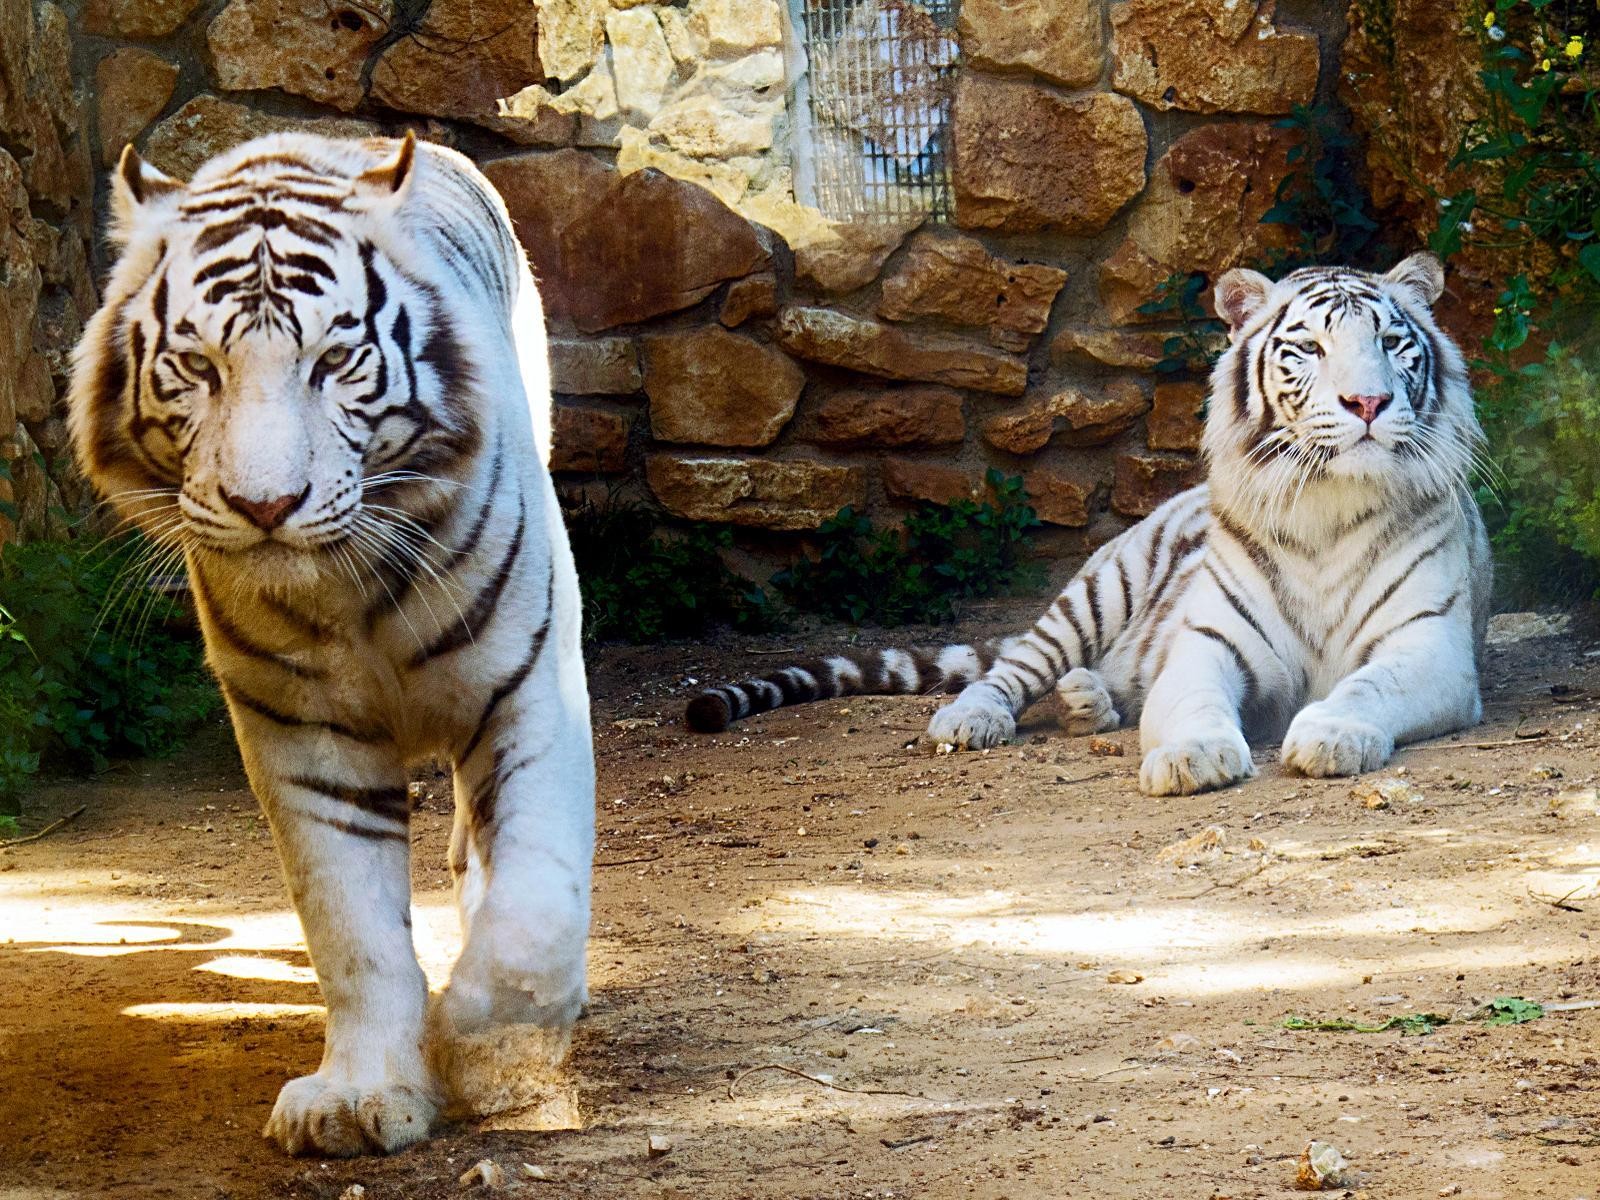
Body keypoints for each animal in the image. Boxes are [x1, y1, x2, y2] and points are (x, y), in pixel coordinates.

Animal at [68, 131, 595, 1158]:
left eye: (335, 359)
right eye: (197, 367)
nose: (266, 505)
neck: (355, 594)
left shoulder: (530, 687)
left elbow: (532, 911)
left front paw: (483, 1050)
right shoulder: (305, 737)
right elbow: (351, 927)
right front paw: (360, 1095)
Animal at [684, 254, 1484, 800]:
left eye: (1393, 342)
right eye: (1309, 348)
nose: (1368, 403)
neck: (1326, 505)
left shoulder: (1431, 646)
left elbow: (1368, 686)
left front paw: (1332, 733)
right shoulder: (1209, 643)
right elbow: (1190, 700)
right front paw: (1193, 758)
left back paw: (1088, 700)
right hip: (1096, 589)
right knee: (1010, 669)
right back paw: (973, 719)